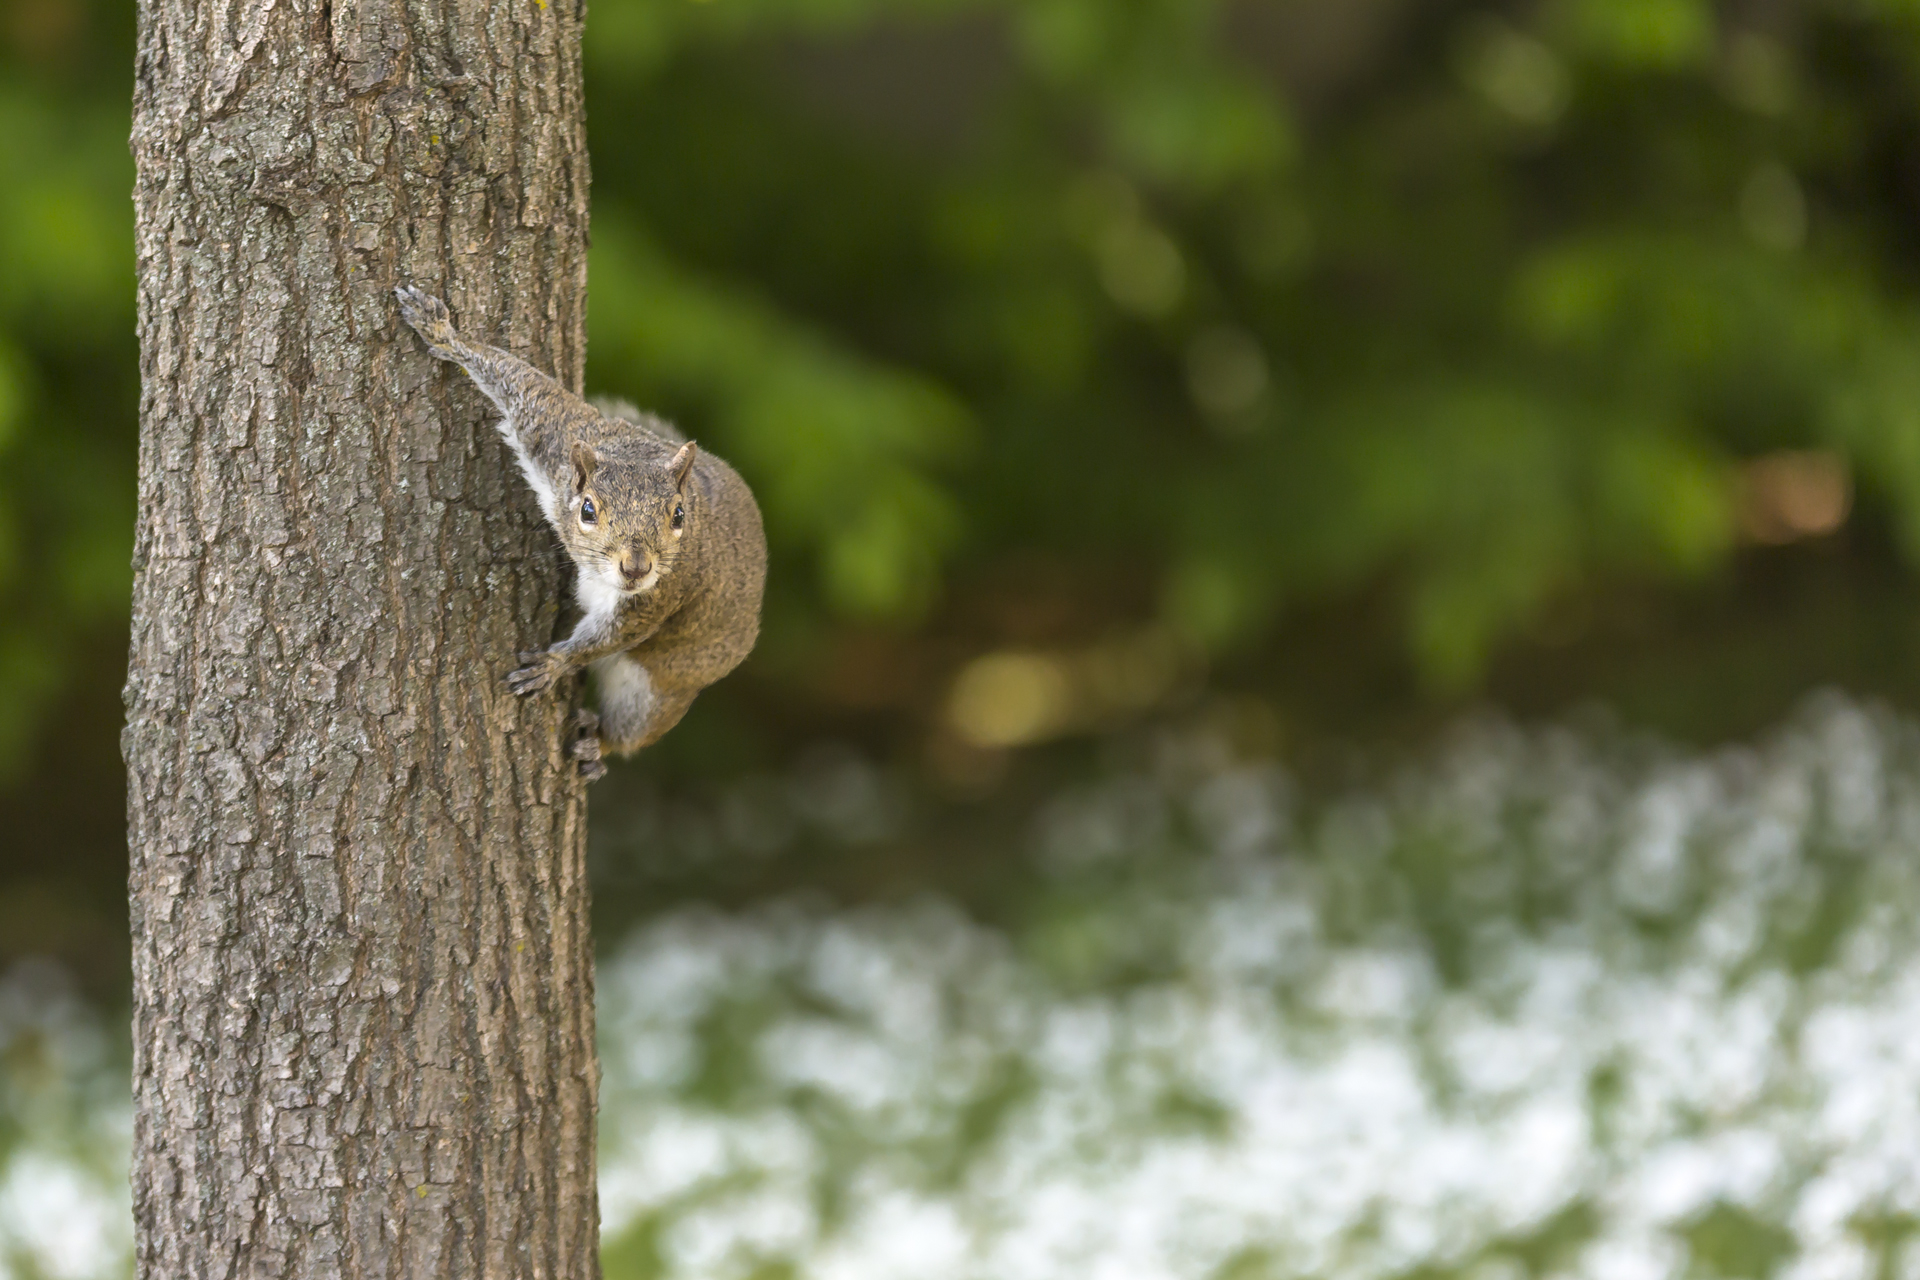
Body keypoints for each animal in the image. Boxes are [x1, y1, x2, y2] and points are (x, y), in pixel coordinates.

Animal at [395, 286, 766, 781]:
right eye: (588, 509)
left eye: (679, 515)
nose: (636, 567)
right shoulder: (554, 431)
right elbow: (518, 380)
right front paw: (442, 331)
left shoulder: (662, 597)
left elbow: (609, 638)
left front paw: (554, 664)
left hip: (656, 688)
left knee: (633, 730)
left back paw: (598, 745)